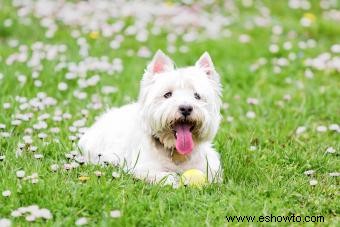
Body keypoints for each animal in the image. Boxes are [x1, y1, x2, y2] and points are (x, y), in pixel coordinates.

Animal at [79, 50, 223, 186]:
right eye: (167, 94)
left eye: (197, 96)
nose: (186, 108)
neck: (175, 151)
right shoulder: (144, 168)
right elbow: (165, 176)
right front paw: (176, 182)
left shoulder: (209, 164)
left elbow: (213, 175)